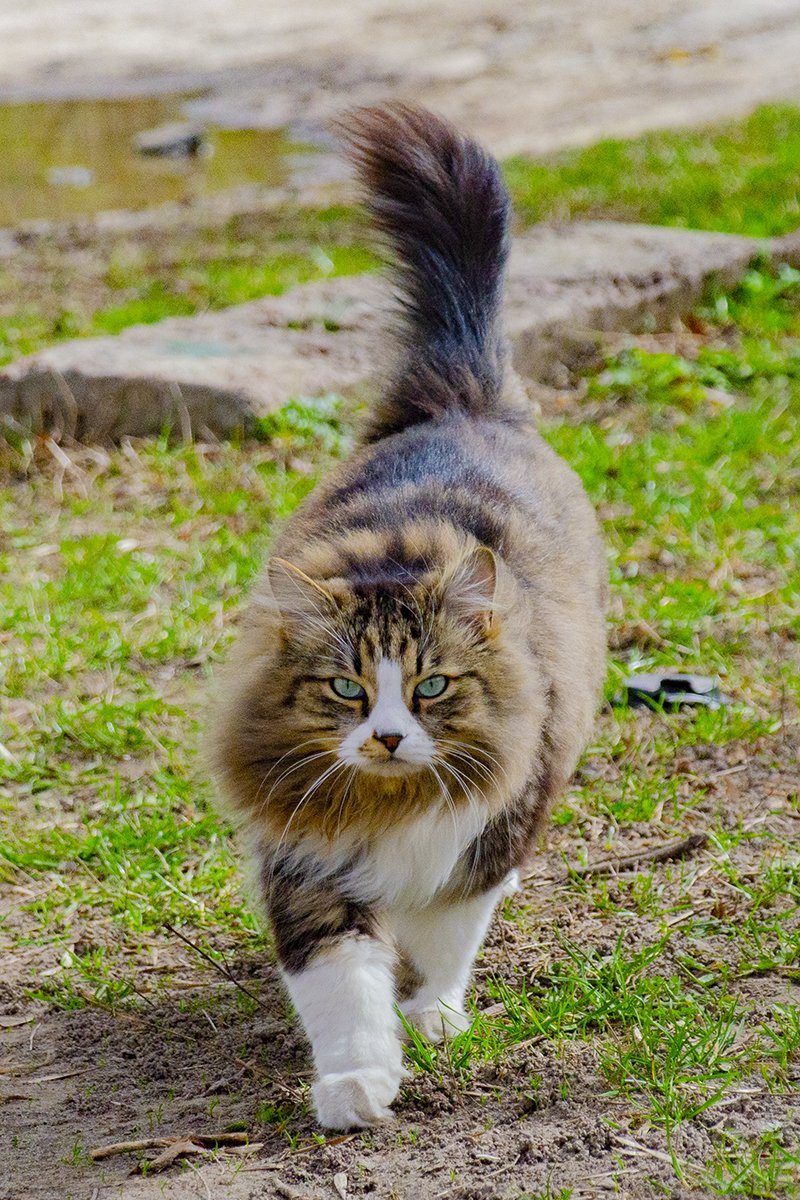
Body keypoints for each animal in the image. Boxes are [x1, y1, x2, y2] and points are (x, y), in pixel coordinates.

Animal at [212, 103, 607, 1130]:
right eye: (347, 692)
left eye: (430, 688)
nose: (388, 738)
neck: (392, 808)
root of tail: (461, 400)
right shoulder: (308, 861)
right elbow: (341, 982)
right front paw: (357, 1081)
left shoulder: (491, 822)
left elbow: (447, 930)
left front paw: (432, 1014)